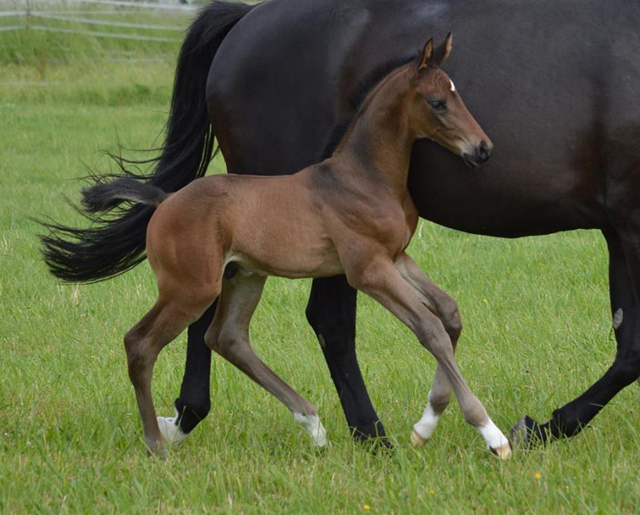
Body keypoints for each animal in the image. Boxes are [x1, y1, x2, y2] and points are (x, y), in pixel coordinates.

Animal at [84, 36, 510, 458]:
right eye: (437, 102)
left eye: (457, 95)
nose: (483, 148)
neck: (363, 177)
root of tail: (166, 199)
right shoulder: (367, 268)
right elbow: (430, 327)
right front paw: (489, 433)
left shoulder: (396, 256)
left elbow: (448, 312)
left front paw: (426, 424)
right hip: (191, 288)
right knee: (140, 344)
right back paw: (156, 445)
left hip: (244, 276)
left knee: (227, 337)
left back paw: (312, 423)